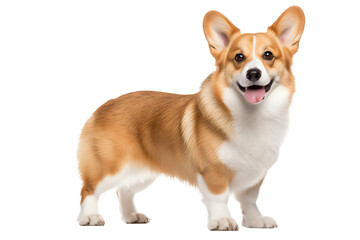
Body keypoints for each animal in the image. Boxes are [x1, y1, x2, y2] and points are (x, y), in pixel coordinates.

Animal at [78, 6, 304, 230]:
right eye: (239, 57)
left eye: (268, 55)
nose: (254, 74)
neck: (253, 115)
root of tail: (105, 105)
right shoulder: (213, 172)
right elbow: (219, 197)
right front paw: (222, 220)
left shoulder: (255, 174)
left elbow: (250, 200)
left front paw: (256, 220)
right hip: (110, 167)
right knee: (88, 190)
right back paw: (90, 217)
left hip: (143, 171)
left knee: (123, 189)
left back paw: (131, 215)